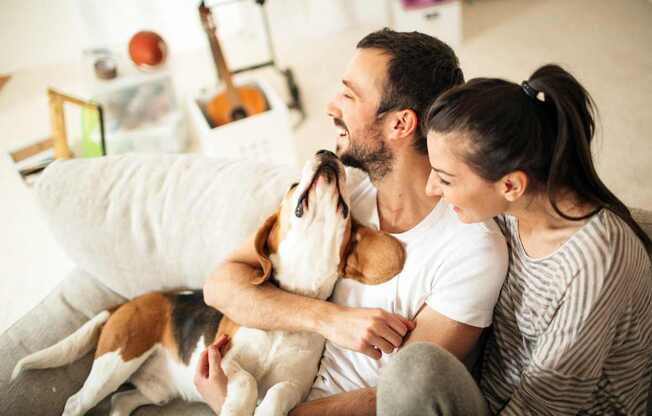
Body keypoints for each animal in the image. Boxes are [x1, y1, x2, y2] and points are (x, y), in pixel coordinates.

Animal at [10, 150, 404, 416]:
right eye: (294, 185)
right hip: (117, 360)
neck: (291, 304)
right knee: (78, 400)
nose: (326, 153)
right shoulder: (222, 356)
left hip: (153, 390)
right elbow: (246, 381)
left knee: (121, 400)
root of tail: (129, 302)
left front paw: (265, 409)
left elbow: (277, 392)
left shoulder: (295, 385)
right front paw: (238, 406)